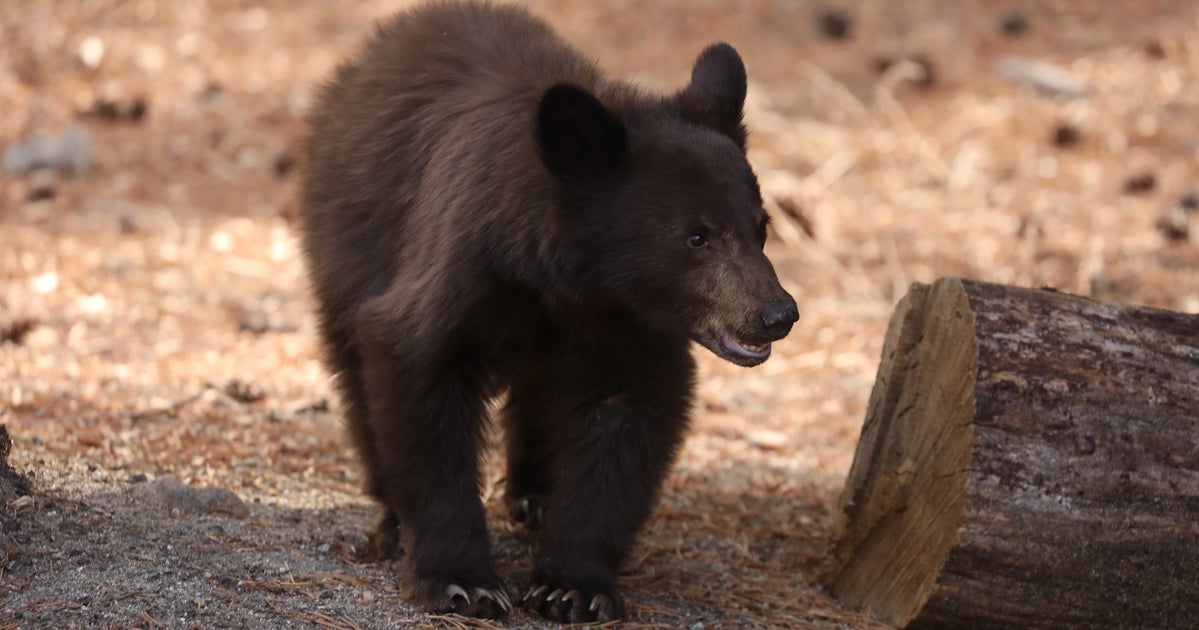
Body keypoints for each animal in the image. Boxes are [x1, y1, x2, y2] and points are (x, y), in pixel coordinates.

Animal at [299, 1, 798, 623]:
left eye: (761, 228)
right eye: (696, 237)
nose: (777, 314)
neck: (567, 282)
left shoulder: (626, 325)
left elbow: (624, 424)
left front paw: (573, 586)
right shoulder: (463, 271)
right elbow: (418, 371)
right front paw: (459, 580)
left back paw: (534, 495)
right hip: (344, 251)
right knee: (358, 381)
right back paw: (392, 518)